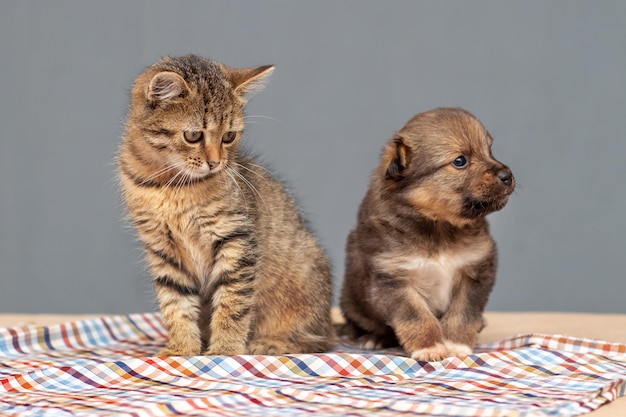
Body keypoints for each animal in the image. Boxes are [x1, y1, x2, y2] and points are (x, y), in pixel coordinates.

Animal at [117, 54, 332, 354]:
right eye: (193, 135)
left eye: (228, 136)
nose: (216, 162)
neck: (169, 184)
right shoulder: (162, 248)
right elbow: (175, 303)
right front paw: (182, 348)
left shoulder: (235, 238)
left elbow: (233, 302)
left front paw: (225, 349)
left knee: (318, 340)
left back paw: (271, 343)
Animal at [338, 107, 516, 360]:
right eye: (460, 161)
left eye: (489, 150)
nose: (507, 175)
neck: (438, 225)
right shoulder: (394, 279)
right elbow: (416, 317)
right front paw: (429, 347)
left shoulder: (474, 271)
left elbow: (464, 313)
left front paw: (457, 343)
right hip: (354, 302)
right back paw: (374, 338)